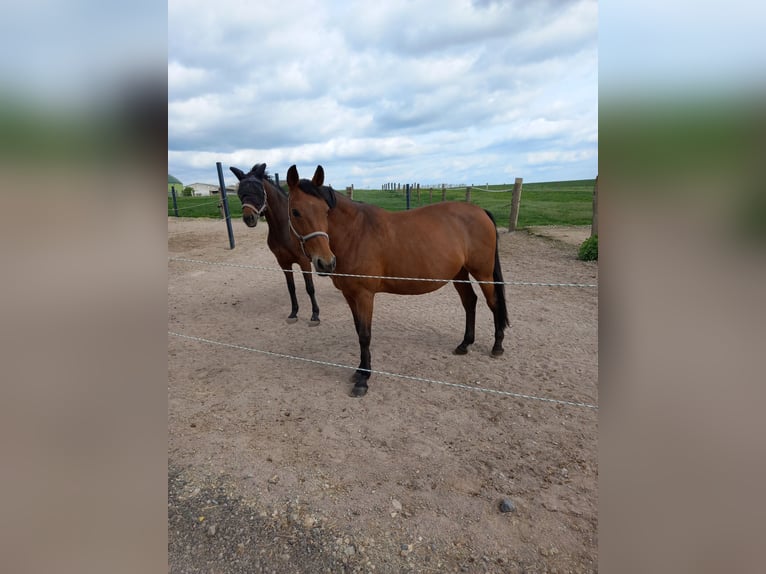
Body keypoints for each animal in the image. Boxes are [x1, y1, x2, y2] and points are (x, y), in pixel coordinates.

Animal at [231, 164, 320, 326]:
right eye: (240, 193)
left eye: (259, 191)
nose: (249, 218)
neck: (286, 230)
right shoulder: (283, 263)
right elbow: (291, 288)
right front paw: (293, 313)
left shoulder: (304, 261)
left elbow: (310, 288)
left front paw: (315, 315)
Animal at [286, 164, 510, 398]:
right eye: (296, 212)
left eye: (325, 211)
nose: (326, 263)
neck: (356, 233)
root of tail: (480, 211)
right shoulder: (350, 295)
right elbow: (358, 331)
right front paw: (359, 371)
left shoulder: (365, 295)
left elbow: (365, 335)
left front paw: (364, 380)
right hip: (460, 274)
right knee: (470, 302)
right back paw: (465, 344)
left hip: (483, 274)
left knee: (494, 303)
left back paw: (497, 346)